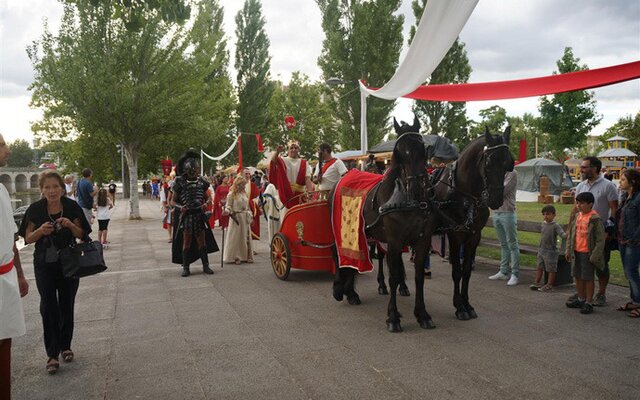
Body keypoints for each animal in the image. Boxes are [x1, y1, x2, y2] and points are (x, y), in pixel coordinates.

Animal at [331, 117, 438, 332]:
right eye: (400, 152)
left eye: (422, 149)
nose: (416, 187)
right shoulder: (395, 241)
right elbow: (394, 276)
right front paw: (393, 317)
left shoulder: (422, 241)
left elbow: (419, 277)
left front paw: (422, 314)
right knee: (338, 255)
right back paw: (340, 288)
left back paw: (351, 291)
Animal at [433, 126, 515, 321]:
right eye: (489, 162)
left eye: (509, 163)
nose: (496, 199)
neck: (465, 195)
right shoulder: (455, 235)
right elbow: (456, 271)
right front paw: (459, 307)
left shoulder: (474, 236)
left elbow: (467, 271)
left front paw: (467, 304)